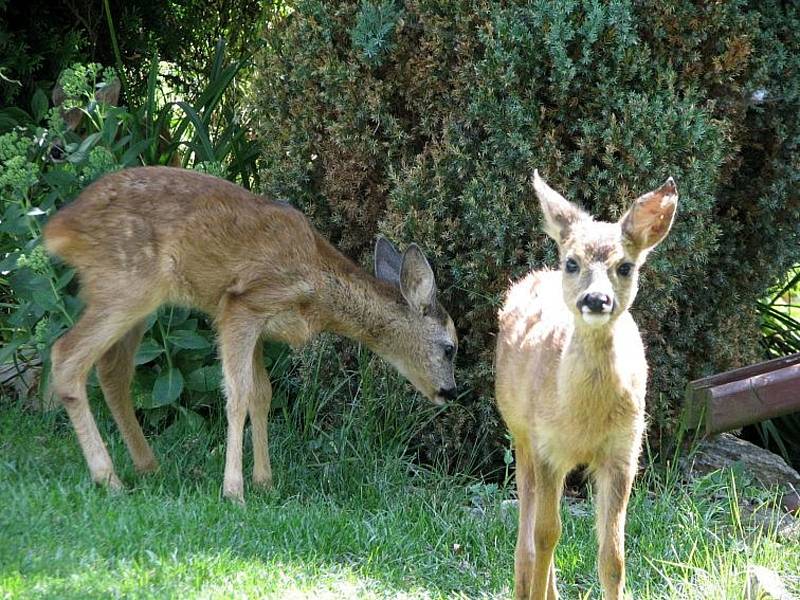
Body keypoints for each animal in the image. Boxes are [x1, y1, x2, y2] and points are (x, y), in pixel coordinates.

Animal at [42, 165, 456, 502]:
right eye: (450, 347)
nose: (450, 392)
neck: (317, 286)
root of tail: (59, 229)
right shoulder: (242, 305)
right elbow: (237, 394)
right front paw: (233, 491)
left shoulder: (259, 326)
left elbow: (262, 394)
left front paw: (265, 483)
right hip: (126, 284)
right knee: (66, 355)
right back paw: (108, 478)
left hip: (137, 301)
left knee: (112, 371)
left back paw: (147, 467)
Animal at [496, 171, 680, 596]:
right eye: (572, 262)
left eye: (625, 266)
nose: (596, 299)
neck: (584, 417)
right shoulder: (546, 445)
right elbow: (547, 535)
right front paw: (537, 596)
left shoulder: (623, 450)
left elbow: (613, 554)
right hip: (520, 435)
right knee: (527, 533)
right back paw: (524, 588)